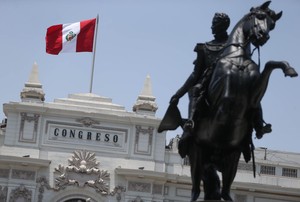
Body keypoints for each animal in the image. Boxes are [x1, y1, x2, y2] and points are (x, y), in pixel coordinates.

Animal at [188, 1, 298, 200]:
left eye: (273, 25)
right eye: (260, 16)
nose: (263, 36)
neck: (237, 57)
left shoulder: (253, 96)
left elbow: (269, 65)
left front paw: (289, 68)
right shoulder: (223, 95)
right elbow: (222, 97)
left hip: (232, 157)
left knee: (224, 192)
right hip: (197, 154)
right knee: (195, 189)